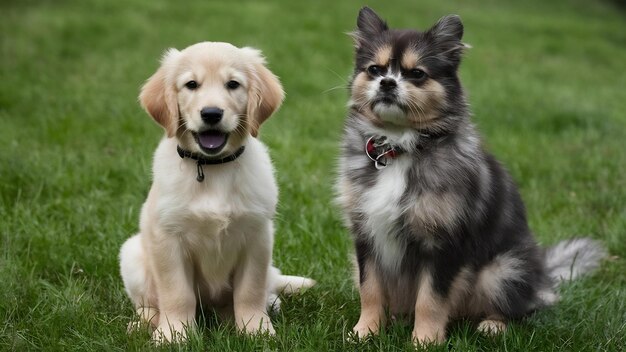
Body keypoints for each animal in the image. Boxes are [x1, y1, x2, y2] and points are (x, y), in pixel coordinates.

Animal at [118, 42, 312, 344]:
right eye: (191, 84)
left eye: (233, 84)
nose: (211, 113)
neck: (212, 168)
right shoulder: (168, 239)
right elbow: (176, 293)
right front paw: (173, 335)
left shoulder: (257, 236)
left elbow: (250, 291)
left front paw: (256, 330)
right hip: (132, 254)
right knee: (149, 304)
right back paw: (142, 324)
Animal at [336, 6, 604, 346]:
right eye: (374, 69)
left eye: (417, 74)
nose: (386, 83)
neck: (402, 147)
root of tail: (543, 280)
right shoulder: (365, 237)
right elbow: (369, 289)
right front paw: (364, 333)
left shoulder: (443, 243)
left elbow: (430, 299)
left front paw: (424, 342)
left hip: (502, 270)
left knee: (521, 311)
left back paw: (492, 326)